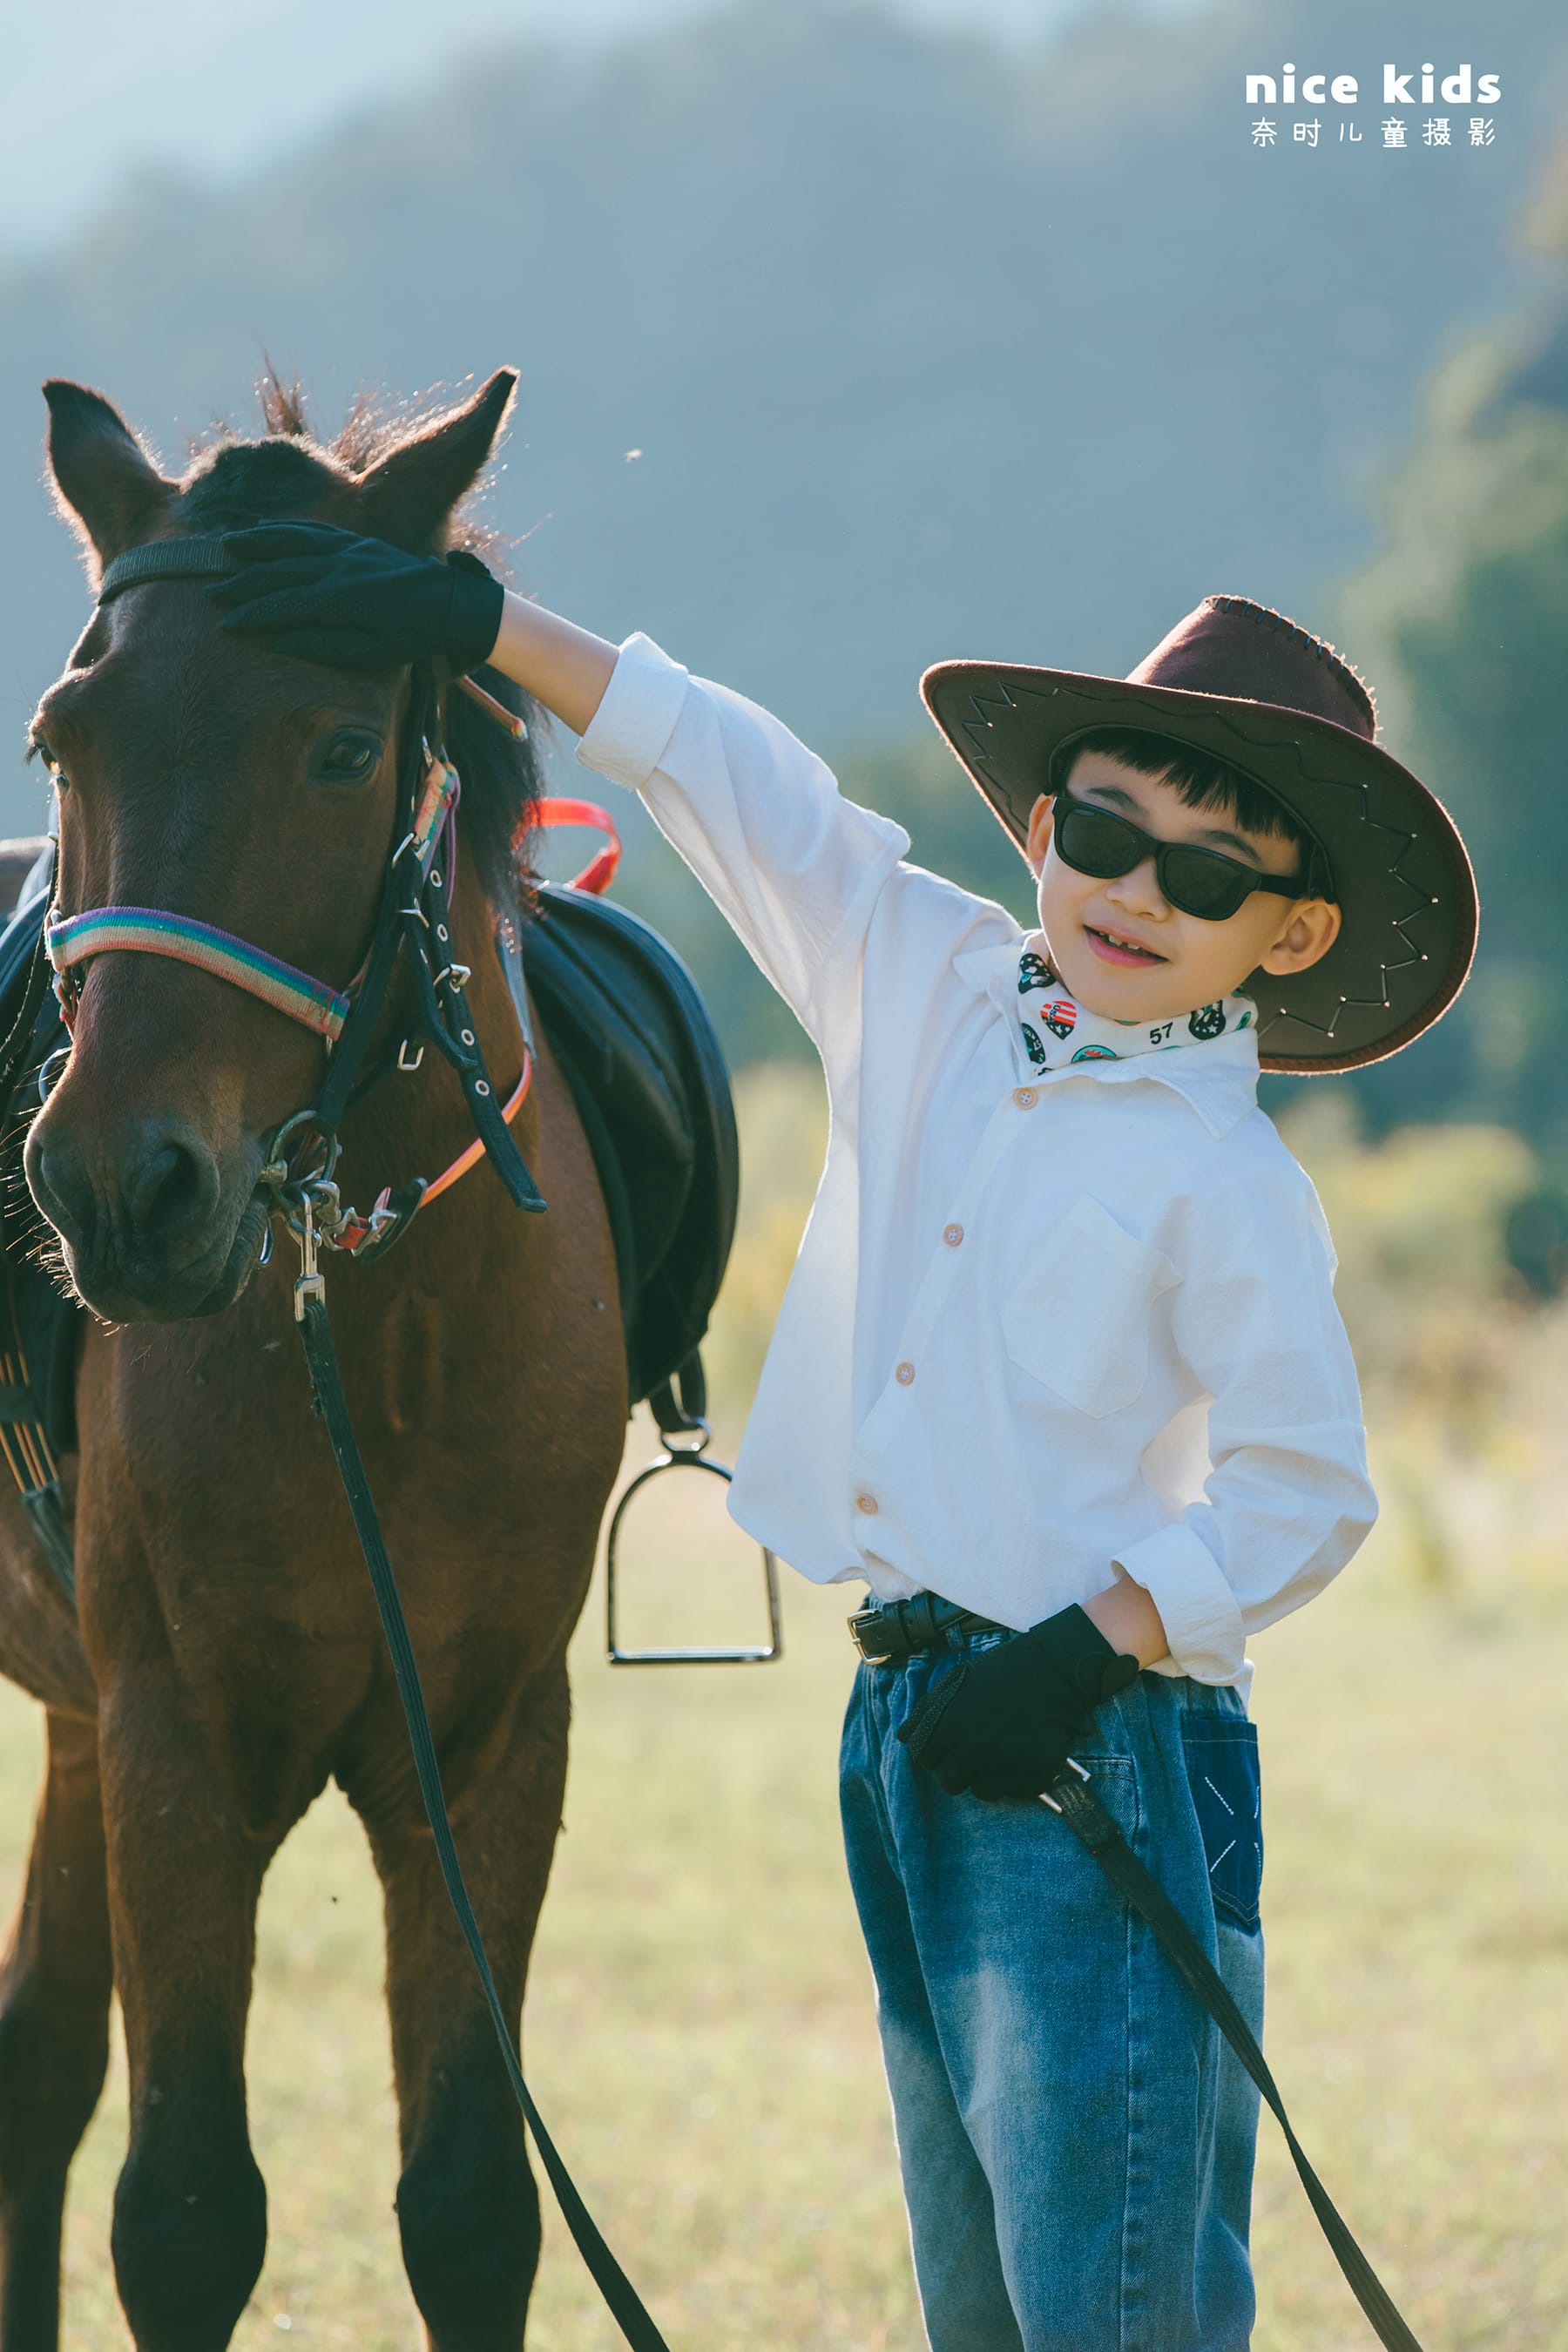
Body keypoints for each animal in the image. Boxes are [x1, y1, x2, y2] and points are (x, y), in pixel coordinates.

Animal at [0, 368, 631, 2351]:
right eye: (65, 743)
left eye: (346, 751)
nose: (116, 1188)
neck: (388, 1331)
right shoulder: (181, 1754)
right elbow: (191, 2212)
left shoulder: (487, 1753)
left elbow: (472, 2208)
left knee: (37, 2065)